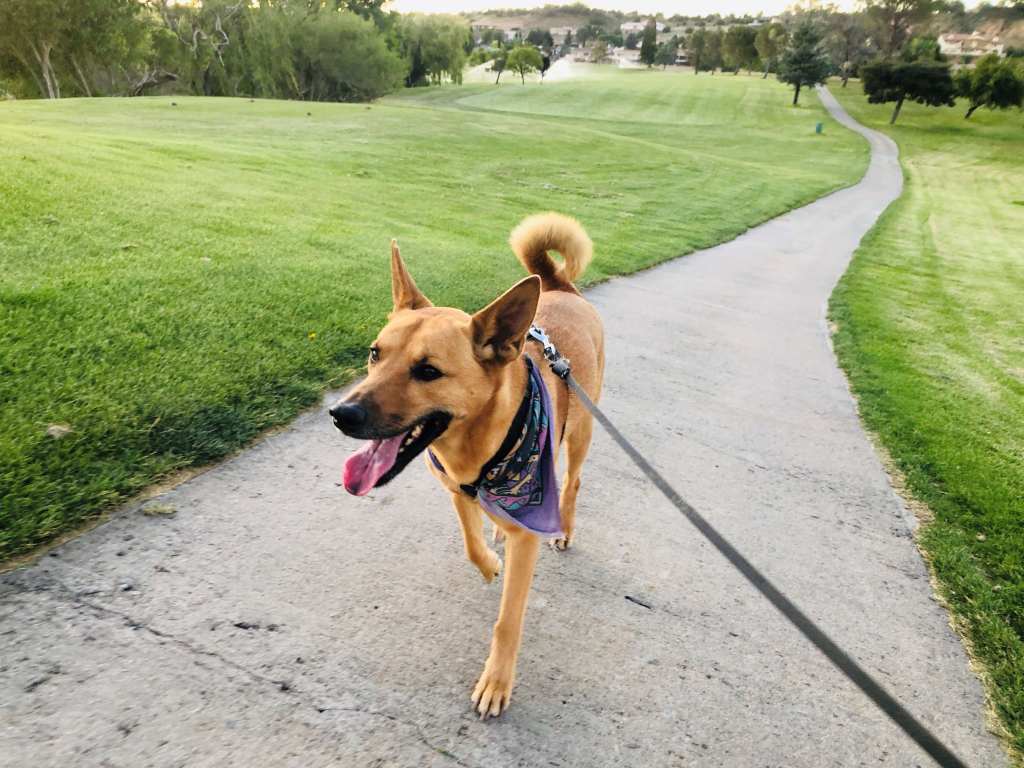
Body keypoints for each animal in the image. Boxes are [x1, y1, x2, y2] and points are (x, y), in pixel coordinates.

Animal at [327, 214, 602, 720]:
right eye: (375, 353)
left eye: (428, 371)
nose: (341, 414)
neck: (477, 442)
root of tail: (560, 288)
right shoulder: (456, 488)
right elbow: (471, 543)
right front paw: (490, 562)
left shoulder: (528, 531)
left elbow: (508, 620)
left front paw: (497, 683)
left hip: (581, 433)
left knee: (573, 483)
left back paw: (565, 527)